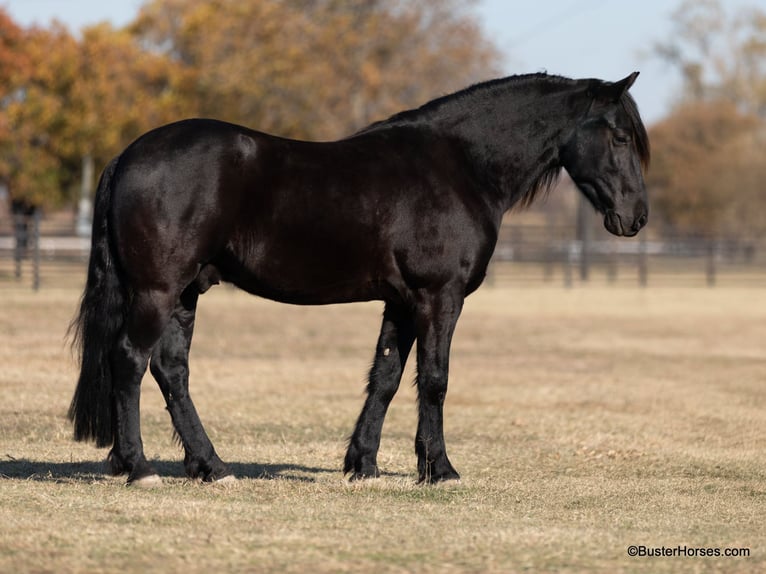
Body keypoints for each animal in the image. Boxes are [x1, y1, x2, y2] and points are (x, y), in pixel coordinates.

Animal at [69, 72, 650, 486]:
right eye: (620, 137)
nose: (637, 218)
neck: (460, 166)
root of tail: (128, 154)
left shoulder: (402, 302)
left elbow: (386, 376)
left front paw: (362, 464)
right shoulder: (439, 297)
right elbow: (435, 380)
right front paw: (440, 470)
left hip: (185, 292)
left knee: (171, 370)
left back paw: (209, 466)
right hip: (157, 291)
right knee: (130, 361)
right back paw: (140, 468)